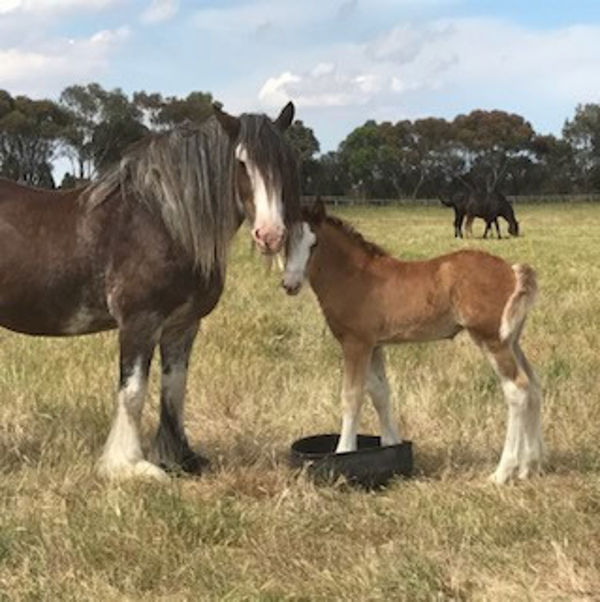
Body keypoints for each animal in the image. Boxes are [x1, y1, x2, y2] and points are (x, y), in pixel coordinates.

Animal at [0, 102, 300, 478]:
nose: (270, 235)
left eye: (286, 162)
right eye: (241, 162)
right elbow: (132, 392)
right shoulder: (139, 322)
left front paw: (179, 458)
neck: (163, 221)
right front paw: (129, 466)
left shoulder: (182, 325)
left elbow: (174, 388)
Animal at [284, 199, 540, 480]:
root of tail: (512, 271)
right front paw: (391, 445)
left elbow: (352, 396)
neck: (355, 277)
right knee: (533, 386)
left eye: (314, 244)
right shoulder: (374, 345)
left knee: (517, 390)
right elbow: (380, 392)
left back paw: (502, 473)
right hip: (511, 340)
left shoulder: (355, 344)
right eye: (285, 242)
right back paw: (527, 467)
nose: (289, 284)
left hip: (492, 340)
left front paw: (343, 453)